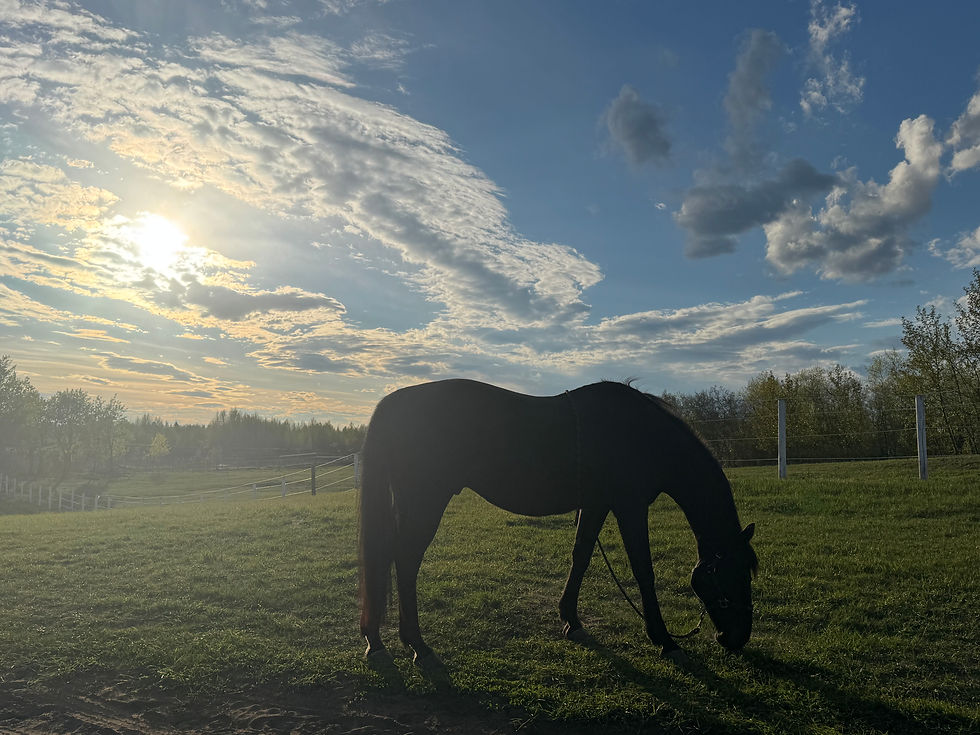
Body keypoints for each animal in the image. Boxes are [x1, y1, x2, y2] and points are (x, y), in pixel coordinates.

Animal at [358, 379, 757, 668]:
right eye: (732, 577)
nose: (736, 639)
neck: (641, 434)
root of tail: (396, 402)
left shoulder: (596, 506)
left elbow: (581, 556)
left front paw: (571, 621)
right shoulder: (629, 507)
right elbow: (643, 571)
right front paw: (664, 640)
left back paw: (376, 641)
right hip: (425, 503)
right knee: (404, 561)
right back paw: (417, 646)